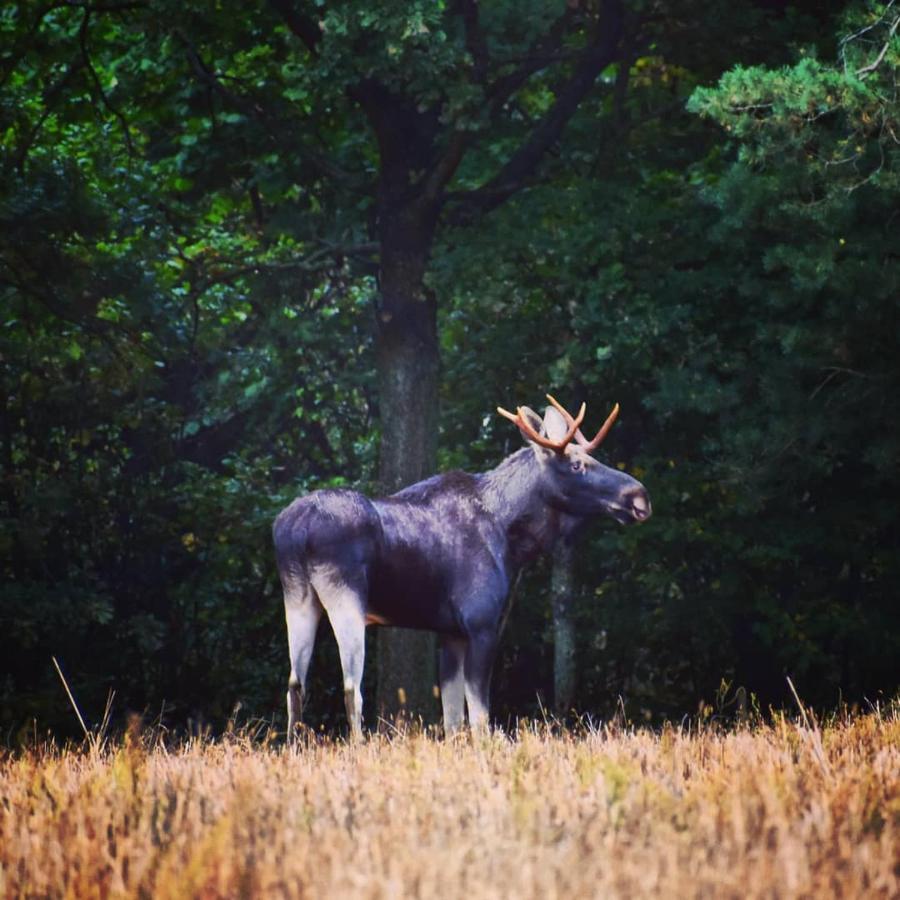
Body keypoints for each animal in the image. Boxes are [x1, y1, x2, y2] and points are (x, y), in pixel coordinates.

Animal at [270, 398, 652, 736]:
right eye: (576, 465)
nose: (639, 497)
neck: (513, 540)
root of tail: (295, 528)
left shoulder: (449, 632)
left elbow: (452, 720)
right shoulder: (481, 624)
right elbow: (480, 717)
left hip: (298, 597)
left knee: (294, 683)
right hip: (345, 596)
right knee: (352, 687)